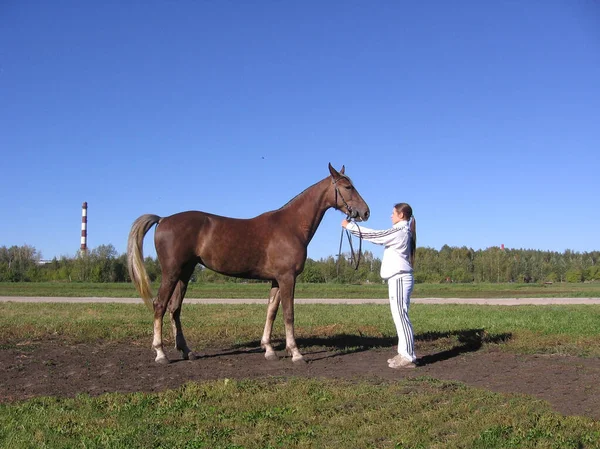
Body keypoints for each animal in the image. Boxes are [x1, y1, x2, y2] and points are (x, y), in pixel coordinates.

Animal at [129, 164, 368, 364]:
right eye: (348, 186)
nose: (365, 212)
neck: (290, 226)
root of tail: (163, 219)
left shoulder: (276, 280)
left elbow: (271, 311)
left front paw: (269, 349)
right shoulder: (287, 278)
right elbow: (288, 314)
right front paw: (296, 353)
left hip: (184, 274)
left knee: (175, 308)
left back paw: (187, 352)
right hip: (171, 272)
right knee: (159, 305)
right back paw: (160, 354)